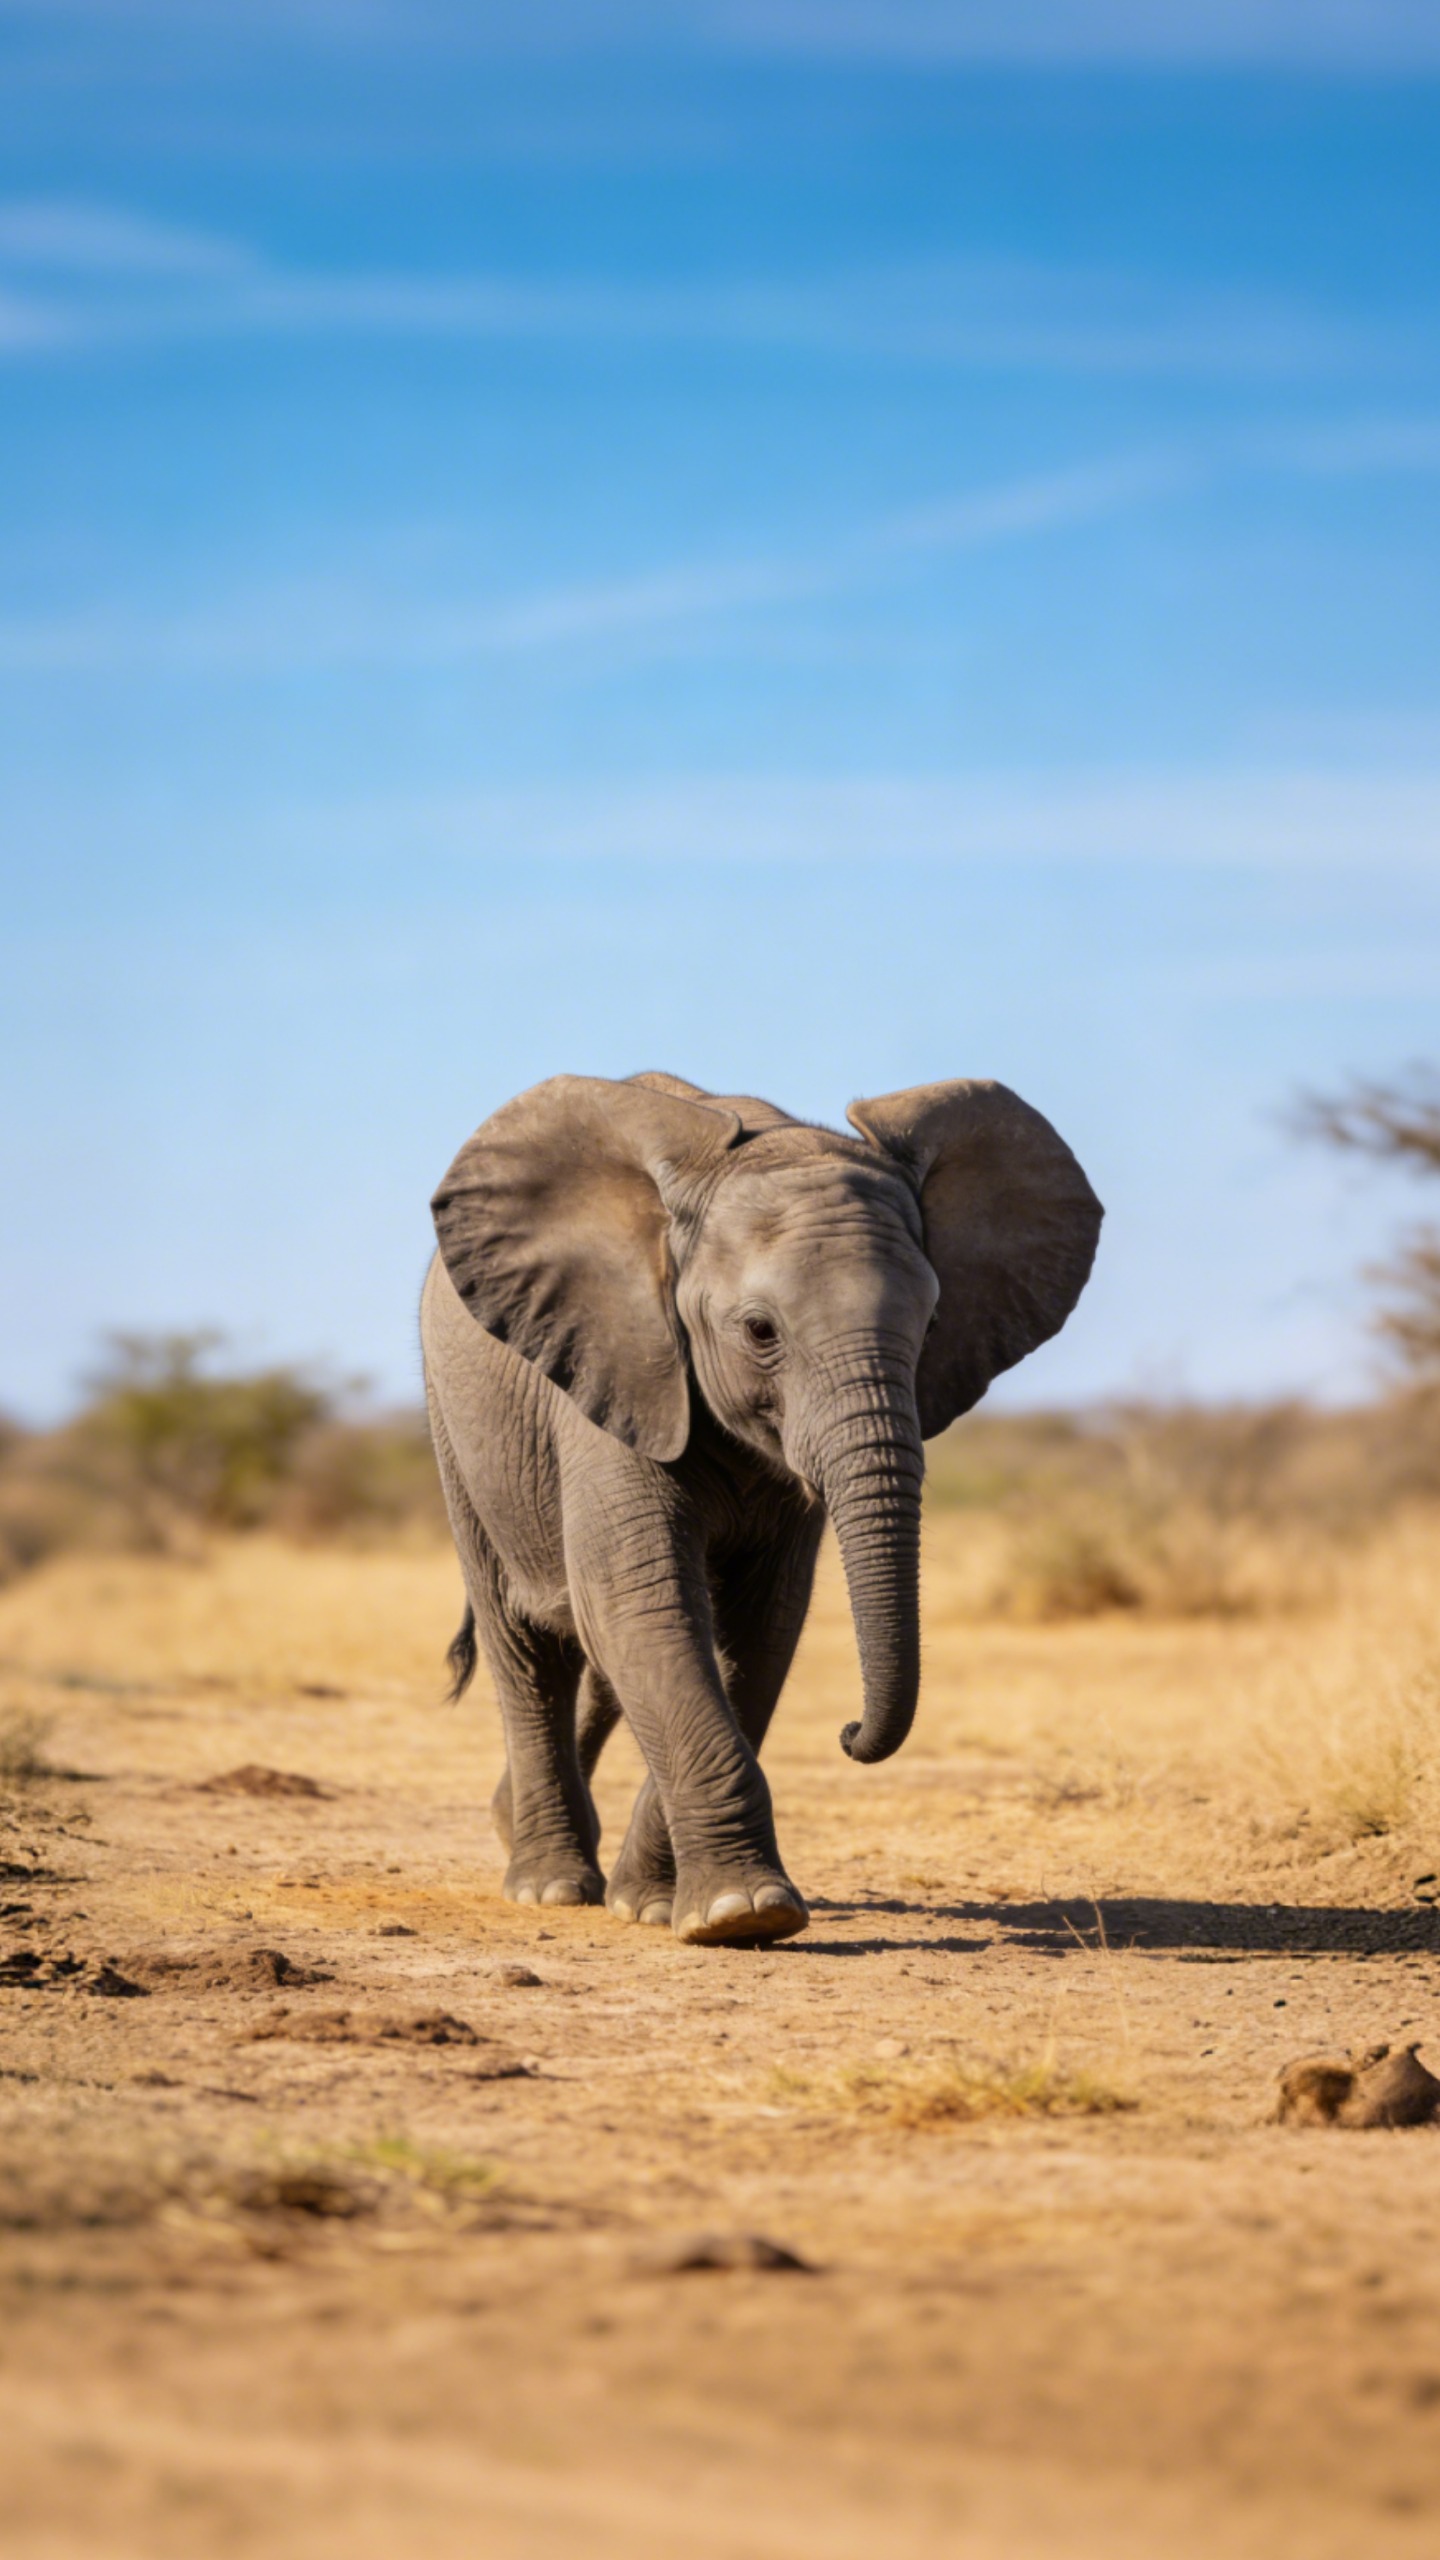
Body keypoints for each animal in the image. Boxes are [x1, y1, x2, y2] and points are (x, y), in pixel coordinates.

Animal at [421, 1070, 1101, 1948]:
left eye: (931, 1326)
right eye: (759, 1331)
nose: (849, 1734)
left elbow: (758, 1627)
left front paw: (659, 1903)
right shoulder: (626, 1365)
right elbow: (642, 1604)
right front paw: (741, 1914)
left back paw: (526, 1833)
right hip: (459, 1427)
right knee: (529, 1645)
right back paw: (548, 1885)